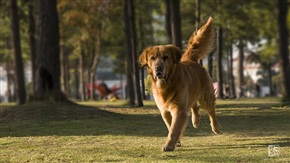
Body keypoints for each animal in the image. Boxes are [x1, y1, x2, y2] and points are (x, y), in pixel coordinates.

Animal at [139, 16, 221, 152]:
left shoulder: (179, 108)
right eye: (152, 58)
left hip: (206, 96)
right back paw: (195, 120)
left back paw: (216, 128)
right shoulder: (164, 110)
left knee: (211, 110)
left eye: (165, 57)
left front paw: (169, 145)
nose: (158, 68)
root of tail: (190, 59)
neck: (166, 84)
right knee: (194, 106)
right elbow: (170, 126)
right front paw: (176, 142)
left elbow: (174, 128)